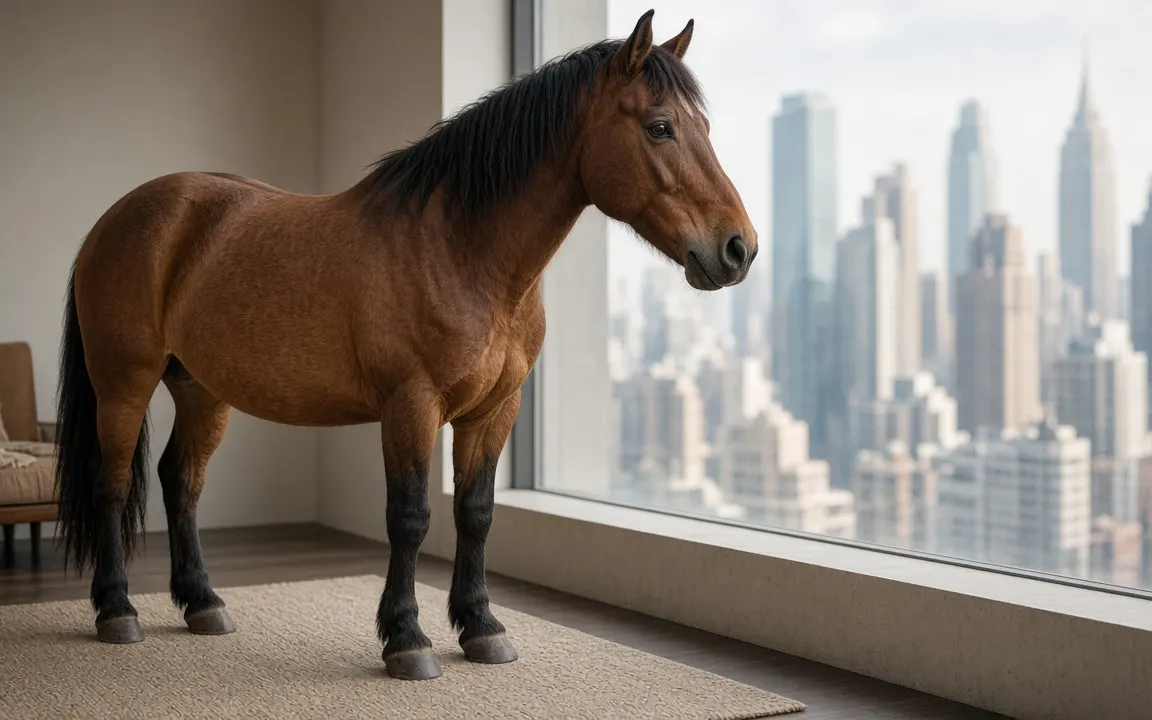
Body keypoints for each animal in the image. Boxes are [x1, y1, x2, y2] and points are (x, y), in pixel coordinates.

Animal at [53, 8, 756, 681]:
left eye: (705, 126)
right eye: (660, 127)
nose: (738, 248)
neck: (462, 253)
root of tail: (115, 219)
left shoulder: (494, 410)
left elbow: (476, 512)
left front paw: (482, 628)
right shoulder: (411, 406)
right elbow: (410, 518)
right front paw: (406, 640)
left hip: (201, 389)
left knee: (182, 481)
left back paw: (202, 603)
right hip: (124, 383)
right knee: (114, 482)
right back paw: (116, 611)